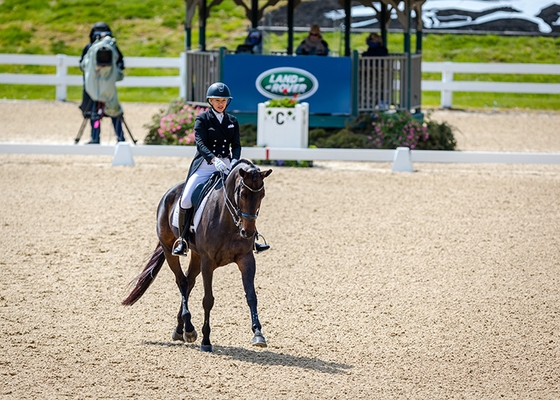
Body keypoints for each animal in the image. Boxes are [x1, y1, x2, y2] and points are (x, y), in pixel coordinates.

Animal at [122, 160, 272, 354]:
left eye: (262, 194)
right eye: (243, 194)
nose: (248, 232)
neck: (228, 219)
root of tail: (171, 192)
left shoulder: (246, 259)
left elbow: (251, 296)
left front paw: (258, 334)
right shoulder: (208, 262)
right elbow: (208, 300)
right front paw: (206, 340)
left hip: (196, 255)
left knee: (189, 281)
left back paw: (181, 330)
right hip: (169, 249)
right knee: (181, 281)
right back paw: (189, 328)